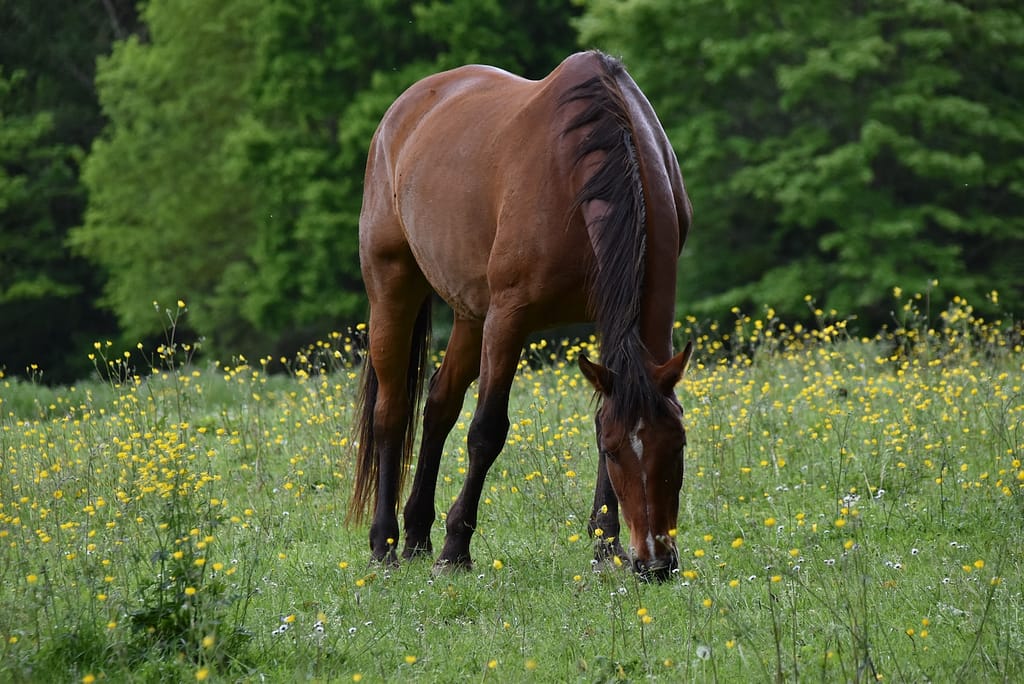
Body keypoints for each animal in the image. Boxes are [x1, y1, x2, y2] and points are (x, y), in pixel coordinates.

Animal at [348, 50, 692, 581]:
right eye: (618, 453)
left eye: (677, 446)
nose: (654, 562)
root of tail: (402, 110)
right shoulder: (509, 317)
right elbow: (487, 430)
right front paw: (456, 550)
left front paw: (605, 544)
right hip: (393, 287)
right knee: (392, 412)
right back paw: (384, 545)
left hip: (471, 314)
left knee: (439, 404)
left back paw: (417, 535)